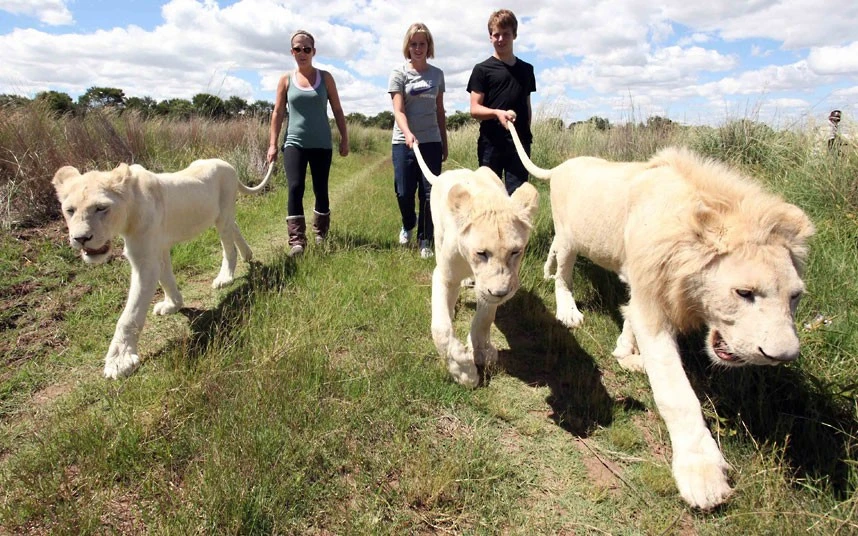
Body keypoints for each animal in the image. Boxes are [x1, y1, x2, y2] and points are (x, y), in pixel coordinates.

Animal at [51, 157, 270, 378]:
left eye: (101, 208)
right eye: (70, 210)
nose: (81, 238)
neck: (129, 210)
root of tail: (226, 163)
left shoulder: (145, 261)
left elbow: (130, 315)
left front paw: (120, 360)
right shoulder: (159, 248)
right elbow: (166, 278)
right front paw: (173, 305)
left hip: (223, 213)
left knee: (228, 244)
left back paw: (226, 277)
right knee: (235, 226)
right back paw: (247, 254)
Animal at [412, 142, 540, 386]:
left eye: (515, 252)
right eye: (481, 253)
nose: (501, 293)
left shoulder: (489, 286)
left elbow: (485, 318)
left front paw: (481, 351)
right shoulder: (445, 275)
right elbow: (441, 329)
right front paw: (464, 371)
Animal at [512, 119, 812, 508]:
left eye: (795, 296)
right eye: (744, 293)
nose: (782, 356)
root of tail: (564, 166)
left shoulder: (643, 285)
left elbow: (629, 320)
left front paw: (626, 352)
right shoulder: (652, 304)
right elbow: (676, 393)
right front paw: (702, 474)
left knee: (552, 253)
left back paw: (548, 272)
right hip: (570, 237)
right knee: (564, 275)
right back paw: (568, 311)